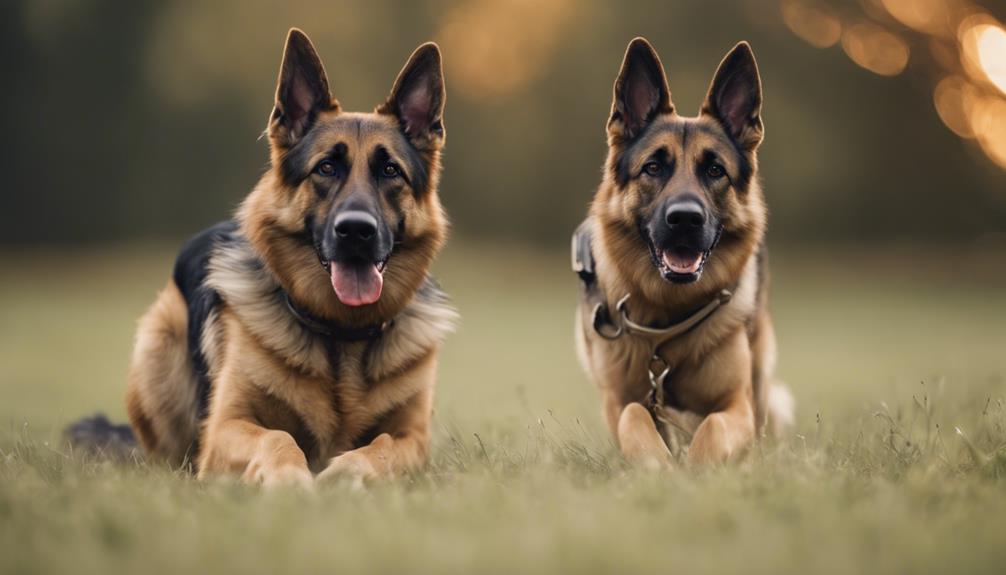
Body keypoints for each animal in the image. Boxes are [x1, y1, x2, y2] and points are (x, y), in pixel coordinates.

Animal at [112, 30, 454, 484]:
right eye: (326, 168)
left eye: (390, 171)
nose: (356, 231)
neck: (341, 334)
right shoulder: (225, 428)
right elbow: (278, 438)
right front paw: (290, 481)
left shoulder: (413, 438)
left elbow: (379, 448)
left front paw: (345, 474)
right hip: (157, 346)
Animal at [575, 38, 792, 468]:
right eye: (653, 167)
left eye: (715, 171)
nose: (685, 219)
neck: (666, 317)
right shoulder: (617, 401)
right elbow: (634, 415)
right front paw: (659, 466)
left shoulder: (736, 405)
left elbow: (713, 427)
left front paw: (697, 469)